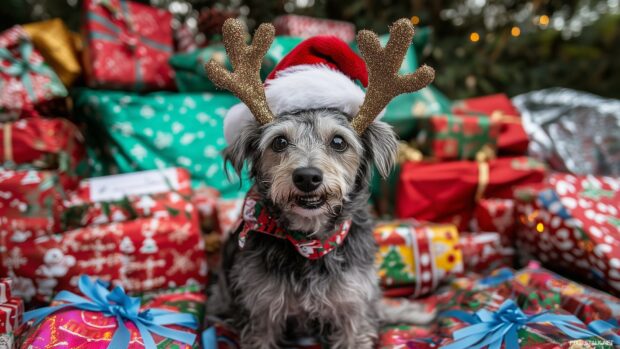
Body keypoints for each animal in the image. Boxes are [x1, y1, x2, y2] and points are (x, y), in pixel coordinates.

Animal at [205, 17, 436, 348]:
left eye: (338, 142)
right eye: (279, 142)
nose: (307, 177)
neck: (310, 244)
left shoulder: (353, 309)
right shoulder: (260, 314)